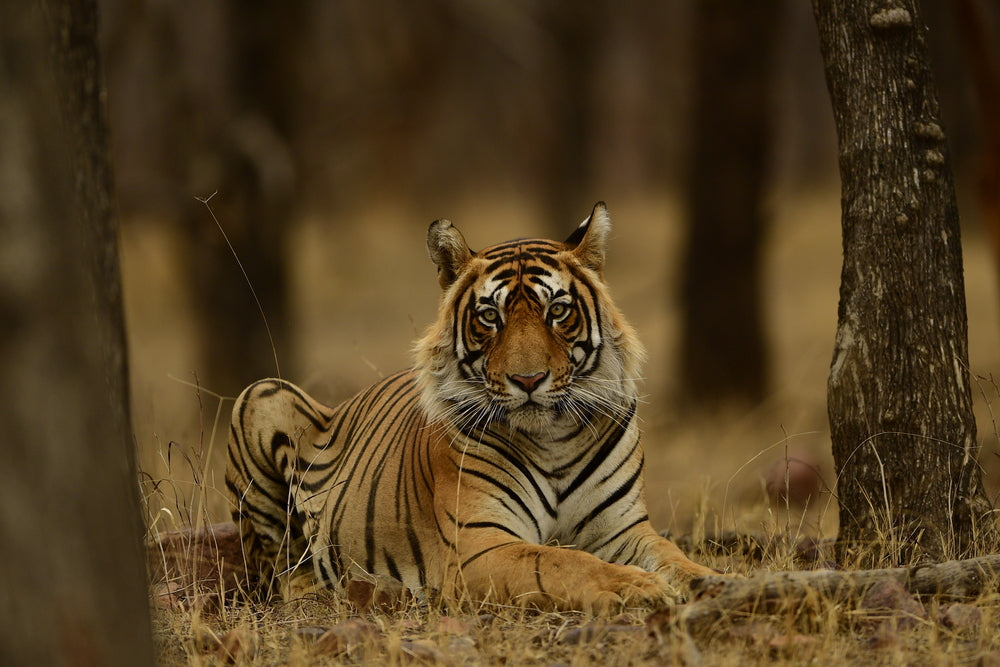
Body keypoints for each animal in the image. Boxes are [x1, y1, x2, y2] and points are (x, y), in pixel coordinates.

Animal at [225, 204, 720, 616]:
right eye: (490, 317)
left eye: (557, 311)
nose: (528, 380)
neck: (553, 438)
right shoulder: (478, 542)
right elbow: (560, 562)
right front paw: (638, 587)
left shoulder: (623, 529)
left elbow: (676, 559)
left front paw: (716, 583)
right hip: (260, 395)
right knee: (280, 575)